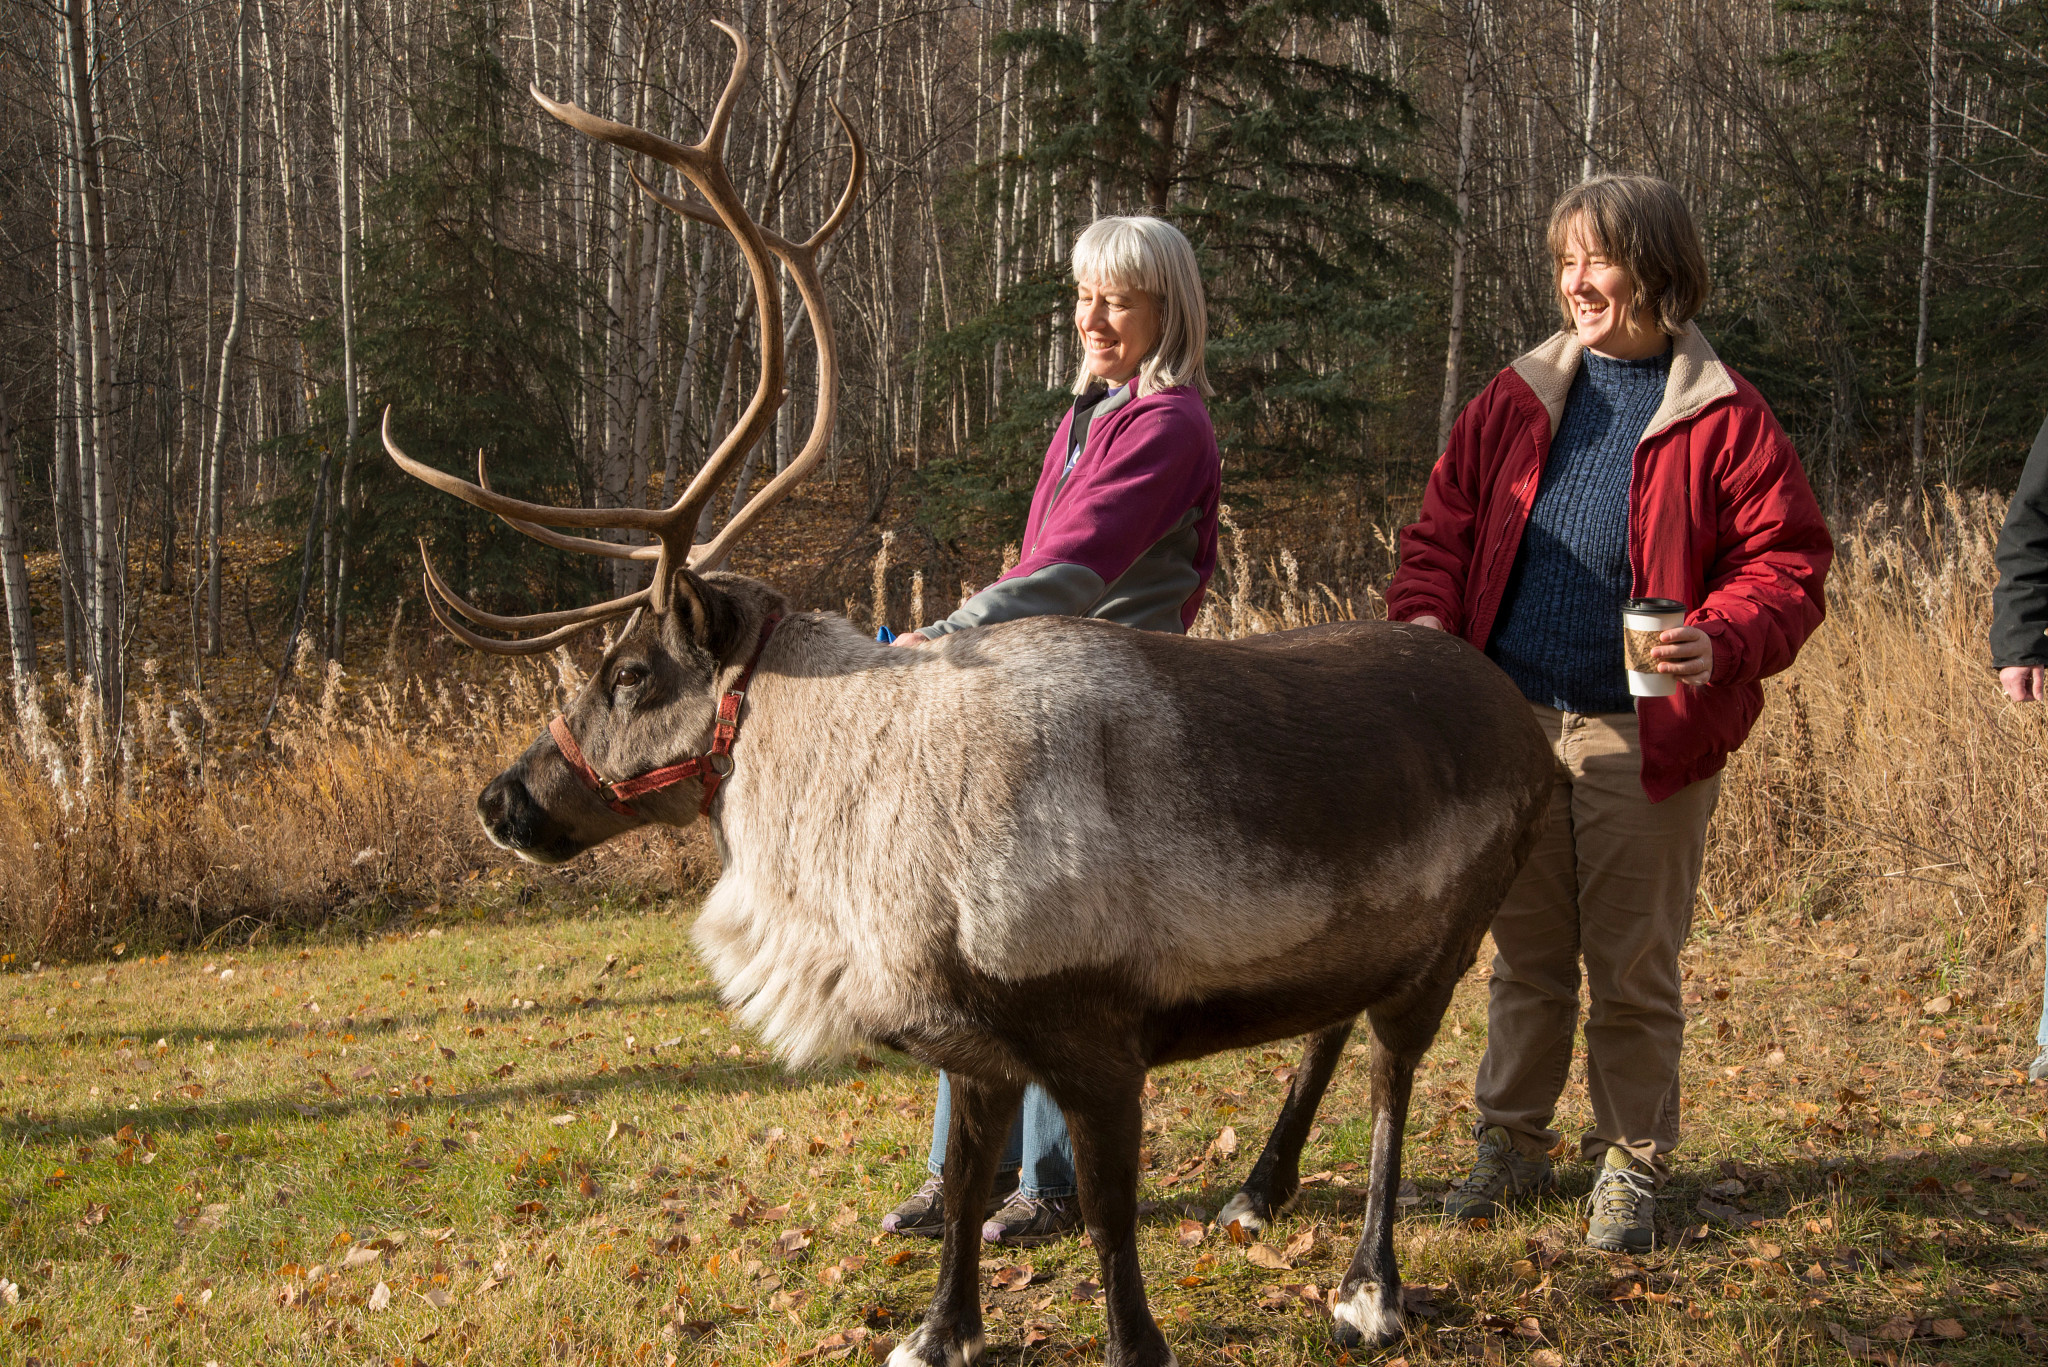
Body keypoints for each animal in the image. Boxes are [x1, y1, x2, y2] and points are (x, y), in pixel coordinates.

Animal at [380, 24, 1555, 1366]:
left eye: (629, 671)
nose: (501, 800)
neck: (851, 853)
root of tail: (1524, 716)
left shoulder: (1093, 1033)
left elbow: (1106, 1225)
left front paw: (1131, 1339)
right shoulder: (977, 1042)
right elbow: (958, 1198)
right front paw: (938, 1329)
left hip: (1450, 939)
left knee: (1391, 1074)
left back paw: (1369, 1280)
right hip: (1374, 939)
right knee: (1325, 1022)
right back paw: (1257, 1192)